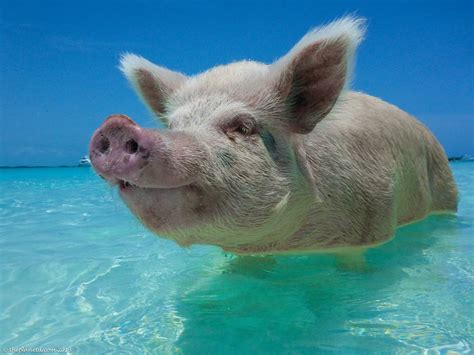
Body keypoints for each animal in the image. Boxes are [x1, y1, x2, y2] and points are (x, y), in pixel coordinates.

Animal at [90, 17, 460, 256]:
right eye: (173, 125)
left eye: (242, 127)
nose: (116, 124)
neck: (288, 245)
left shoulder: (373, 221)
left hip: (445, 187)